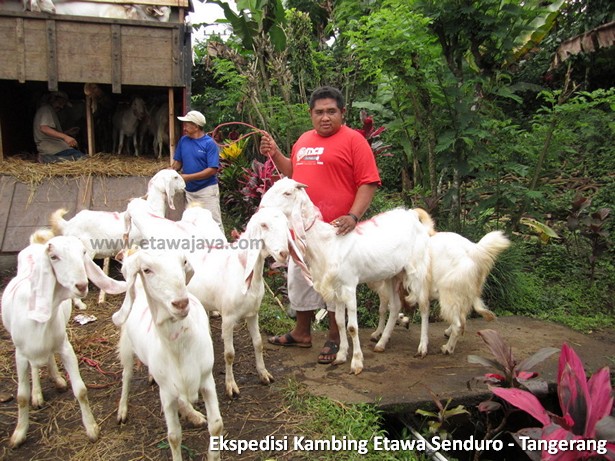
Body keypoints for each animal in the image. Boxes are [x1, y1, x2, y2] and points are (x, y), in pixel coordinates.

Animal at [0, 230, 126, 446]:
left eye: (83, 252)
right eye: (53, 257)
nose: (82, 285)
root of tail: (36, 243)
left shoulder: (65, 346)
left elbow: (81, 390)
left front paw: (91, 429)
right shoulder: (20, 354)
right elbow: (21, 396)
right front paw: (19, 433)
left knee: (48, 356)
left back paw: (58, 379)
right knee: (35, 367)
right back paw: (37, 394)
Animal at [112, 248, 224, 460]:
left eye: (184, 262)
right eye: (146, 269)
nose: (181, 303)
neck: (180, 348)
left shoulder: (207, 379)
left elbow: (216, 425)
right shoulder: (166, 392)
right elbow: (173, 436)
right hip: (127, 346)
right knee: (126, 375)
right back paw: (122, 410)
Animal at [188, 207, 304, 398]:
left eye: (286, 225)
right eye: (263, 225)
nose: (284, 254)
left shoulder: (253, 313)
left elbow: (258, 343)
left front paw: (264, 374)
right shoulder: (228, 318)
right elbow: (229, 354)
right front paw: (231, 386)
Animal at [260, 178, 434, 372]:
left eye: (287, 193)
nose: (262, 207)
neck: (329, 241)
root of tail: (412, 215)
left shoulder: (349, 286)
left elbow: (352, 327)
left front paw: (356, 362)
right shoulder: (337, 288)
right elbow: (339, 321)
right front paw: (341, 356)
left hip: (416, 269)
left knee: (424, 306)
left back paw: (422, 348)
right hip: (392, 274)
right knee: (395, 306)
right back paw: (381, 343)